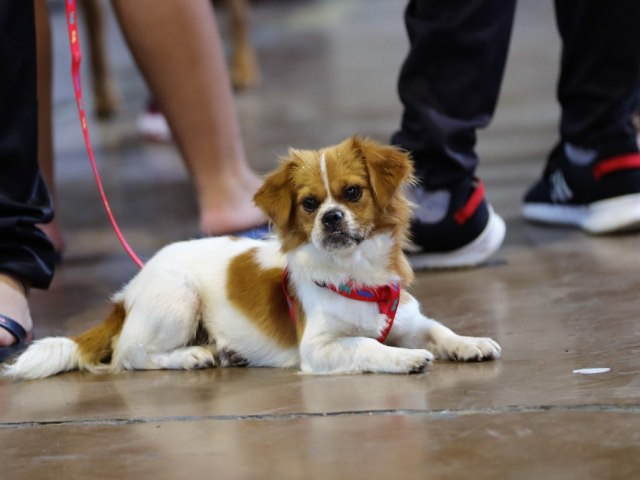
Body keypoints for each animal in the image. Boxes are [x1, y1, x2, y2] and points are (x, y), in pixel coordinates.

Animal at [3, 135, 500, 378]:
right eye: (309, 204)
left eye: (353, 193)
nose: (332, 217)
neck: (355, 272)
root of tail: (127, 296)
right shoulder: (318, 347)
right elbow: (366, 345)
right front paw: (404, 358)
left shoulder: (409, 318)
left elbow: (439, 329)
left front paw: (470, 343)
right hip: (178, 298)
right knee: (129, 355)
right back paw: (191, 357)